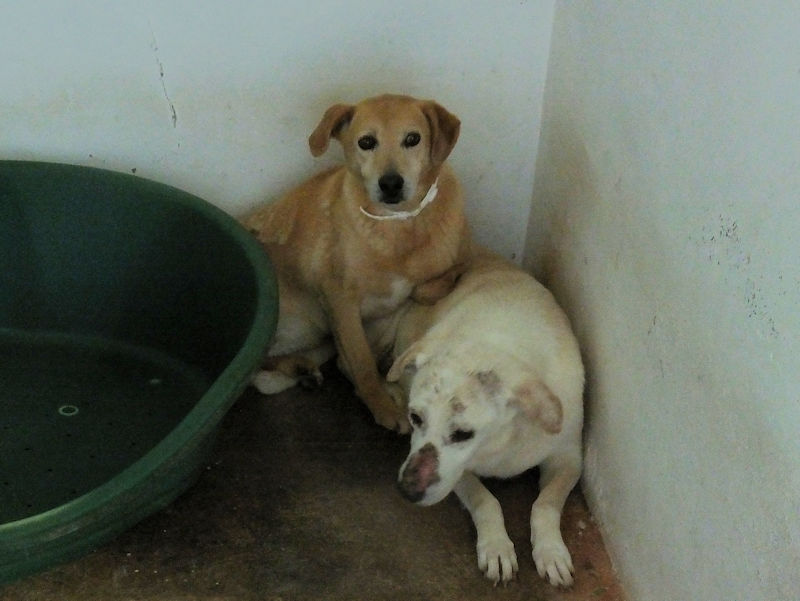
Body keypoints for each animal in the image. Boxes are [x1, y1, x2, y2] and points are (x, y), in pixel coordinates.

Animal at [243, 94, 472, 432]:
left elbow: (432, 283)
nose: (391, 183)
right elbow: (361, 360)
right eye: (366, 142)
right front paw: (381, 404)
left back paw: (300, 367)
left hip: (315, 331)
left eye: (412, 139)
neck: (397, 226)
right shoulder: (340, 300)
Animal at [369, 247, 584, 586]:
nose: (407, 490)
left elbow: (545, 504)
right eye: (416, 417)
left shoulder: (569, 460)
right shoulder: (460, 472)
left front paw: (551, 551)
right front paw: (496, 546)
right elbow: (487, 501)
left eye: (463, 434)